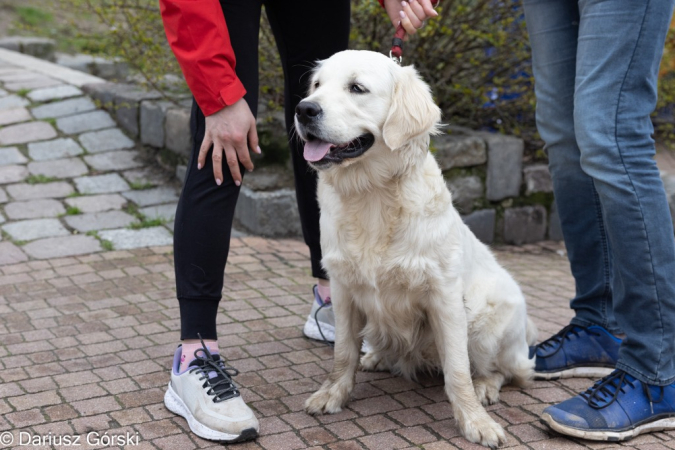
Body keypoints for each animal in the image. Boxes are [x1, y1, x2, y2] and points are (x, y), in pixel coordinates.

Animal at [296, 50, 540, 446]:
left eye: (357, 88)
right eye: (317, 85)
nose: (303, 109)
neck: (372, 195)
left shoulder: (445, 297)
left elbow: (457, 370)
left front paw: (475, 420)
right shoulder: (343, 288)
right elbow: (343, 352)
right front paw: (333, 394)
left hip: (487, 324)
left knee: (508, 371)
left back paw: (486, 387)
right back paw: (377, 357)